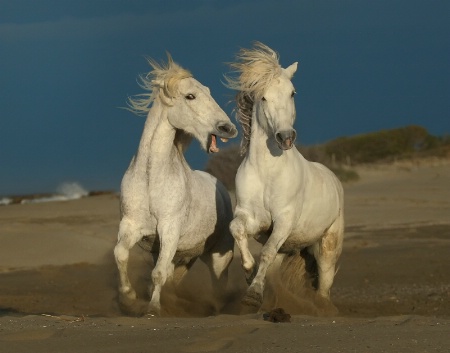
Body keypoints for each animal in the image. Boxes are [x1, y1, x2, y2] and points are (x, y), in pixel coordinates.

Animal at [114, 53, 237, 314]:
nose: (228, 128)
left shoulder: (169, 230)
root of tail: (221, 188)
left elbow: (158, 273)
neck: (151, 178)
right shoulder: (131, 226)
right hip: (185, 256)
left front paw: (152, 309)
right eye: (190, 96)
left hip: (219, 255)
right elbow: (120, 254)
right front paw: (128, 298)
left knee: (219, 282)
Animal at [227, 42, 342, 310]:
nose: (286, 137)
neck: (267, 172)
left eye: (292, 93)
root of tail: (334, 180)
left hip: (327, 245)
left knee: (324, 285)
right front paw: (248, 273)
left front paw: (252, 294)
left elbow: (266, 253)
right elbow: (236, 229)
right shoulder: (255, 220)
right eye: (263, 97)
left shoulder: (284, 221)